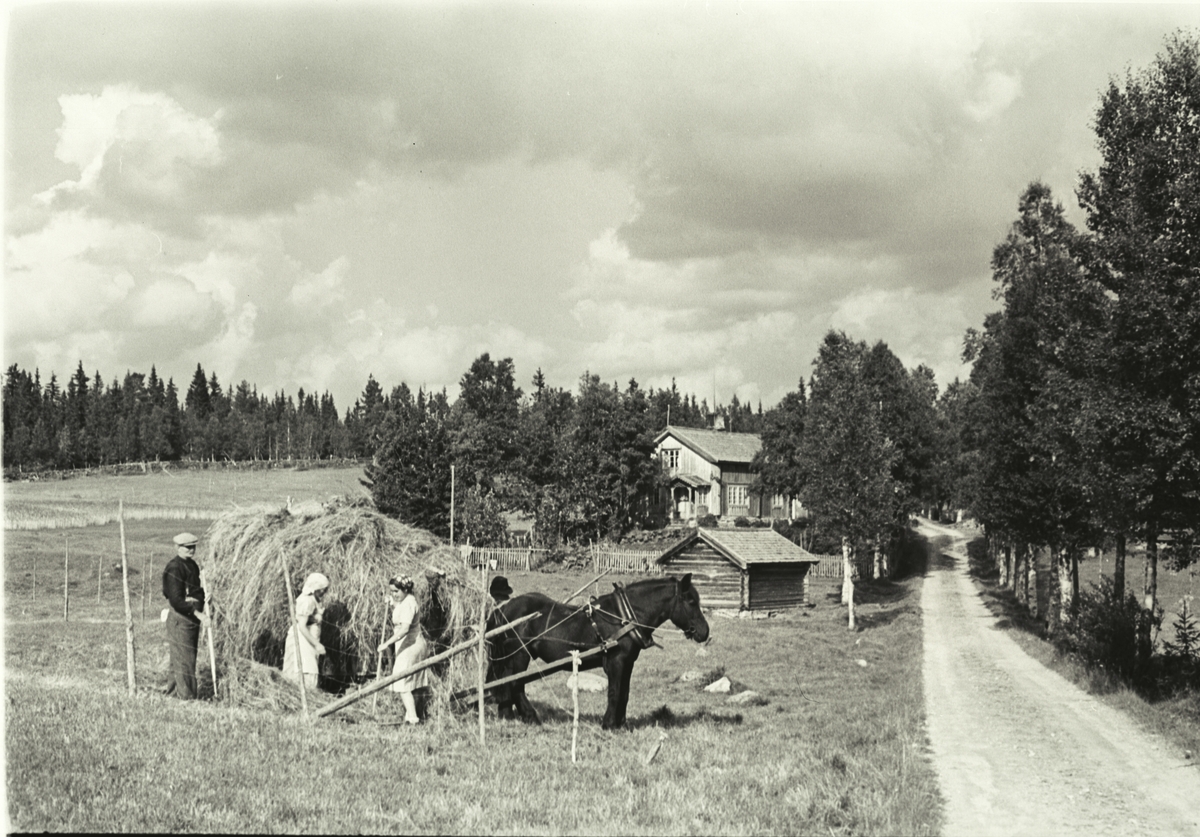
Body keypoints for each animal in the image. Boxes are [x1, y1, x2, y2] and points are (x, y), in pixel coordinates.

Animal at [484, 570, 705, 729]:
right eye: (691, 601)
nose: (705, 632)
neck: (623, 617)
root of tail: (504, 607)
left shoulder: (628, 662)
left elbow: (625, 693)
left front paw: (622, 724)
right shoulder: (616, 661)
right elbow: (615, 692)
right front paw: (609, 724)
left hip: (511, 657)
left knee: (506, 682)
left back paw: (507, 715)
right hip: (520, 655)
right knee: (516, 684)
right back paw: (531, 716)